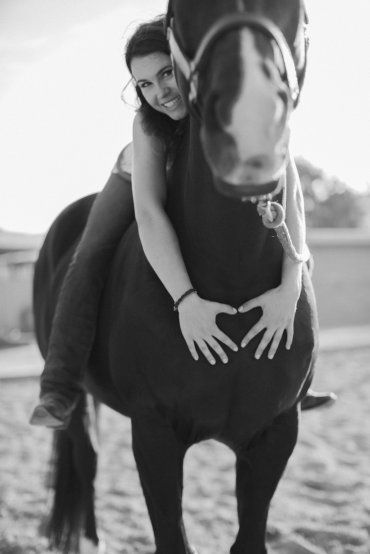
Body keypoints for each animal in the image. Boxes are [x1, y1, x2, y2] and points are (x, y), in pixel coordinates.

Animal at [34, 1, 316, 552]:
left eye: (295, 11)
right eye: (179, 15)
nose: (248, 127)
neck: (230, 274)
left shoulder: (276, 434)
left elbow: (250, 535)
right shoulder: (155, 434)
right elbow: (171, 533)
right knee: (86, 454)